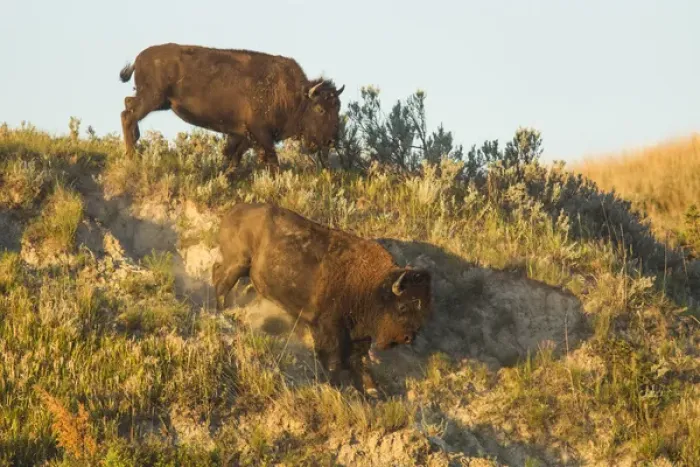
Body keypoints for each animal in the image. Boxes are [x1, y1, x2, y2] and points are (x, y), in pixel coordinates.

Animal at [118, 43, 345, 170]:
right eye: (320, 109)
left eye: (337, 108)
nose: (332, 140)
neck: (295, 96)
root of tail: (139, 58)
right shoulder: (260, 134)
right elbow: (271, 160)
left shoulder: (241, 135)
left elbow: (232, 157)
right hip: (153, 99)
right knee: (128, 115)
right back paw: (131, 156)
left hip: (160, 102)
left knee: (128, 104)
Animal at [212, 202, 433, 397]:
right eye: (402, 306)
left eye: (423, 311)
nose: (409, 337)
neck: (373, 286)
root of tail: (233, 211)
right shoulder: (329, 329)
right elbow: (335, 359)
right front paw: (337, 386)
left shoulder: (359, 336)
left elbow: (361, 362)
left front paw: (372, 390)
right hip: (238, 263)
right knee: (222, 284)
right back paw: (224, 312)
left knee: (217, 273)